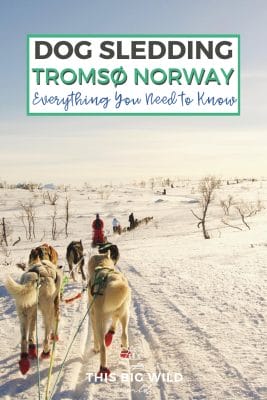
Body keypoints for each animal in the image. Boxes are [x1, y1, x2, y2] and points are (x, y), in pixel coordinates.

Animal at [88, 245, 131, 376]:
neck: (102, 265)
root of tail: (113, 280)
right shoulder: (116, 313)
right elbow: (114, 322)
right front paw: (111, 332)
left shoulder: (93, 316)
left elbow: (96, 337)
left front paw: (95, 348)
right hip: (125, 314)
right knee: (124, 335)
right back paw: (125, 350)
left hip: (100, 321)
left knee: (103, 348)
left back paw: (103, 367)